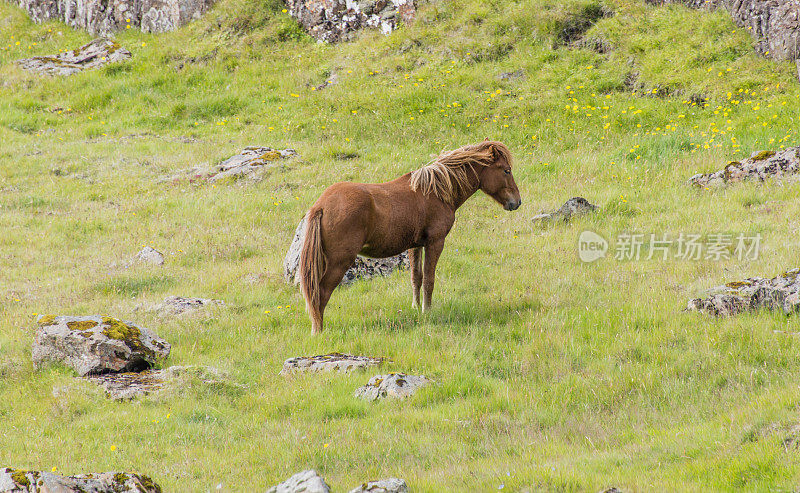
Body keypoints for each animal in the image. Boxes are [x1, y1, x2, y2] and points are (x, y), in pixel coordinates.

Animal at [296, 140, 520, 332]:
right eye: (506, 170)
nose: (516, 202)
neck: (435, 192)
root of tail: (321, 205)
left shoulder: (415, 245)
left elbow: (416, 278)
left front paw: (416, 308)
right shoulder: (435, 243)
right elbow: (429, 279)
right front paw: (427, 311)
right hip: (339, 261)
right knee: (320, 293)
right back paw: (318, 330)